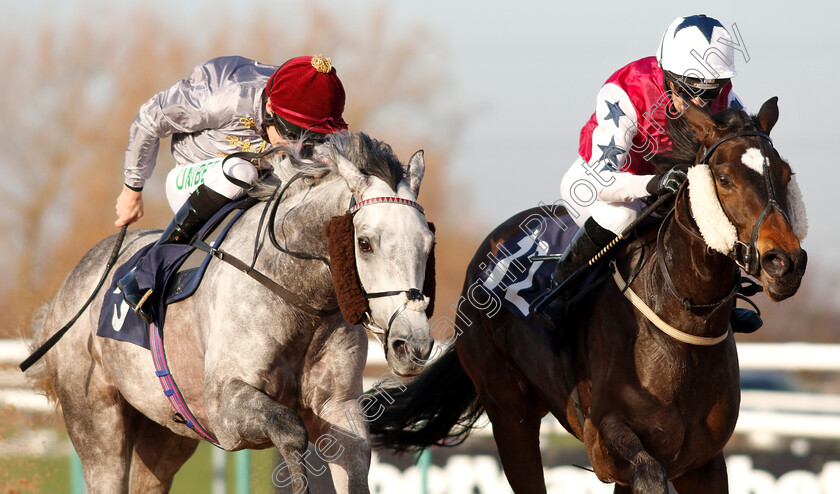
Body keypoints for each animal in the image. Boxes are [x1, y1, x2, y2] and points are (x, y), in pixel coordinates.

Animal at [25, 132, 436, 494]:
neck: (297, 294)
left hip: (166, 434)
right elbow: (290, 429)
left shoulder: (340, 408)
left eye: (429, 242)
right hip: (96, 425)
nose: (412, 344)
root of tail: (71, 287)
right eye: (364, 243)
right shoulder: (225, 409)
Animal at [370, 98, 812, 492]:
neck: (683, 322)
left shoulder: (702, 462)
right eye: (723, 178)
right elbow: (649, 477)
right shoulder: (605, 443)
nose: (784, 262)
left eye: (786, 173)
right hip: (509, 413)